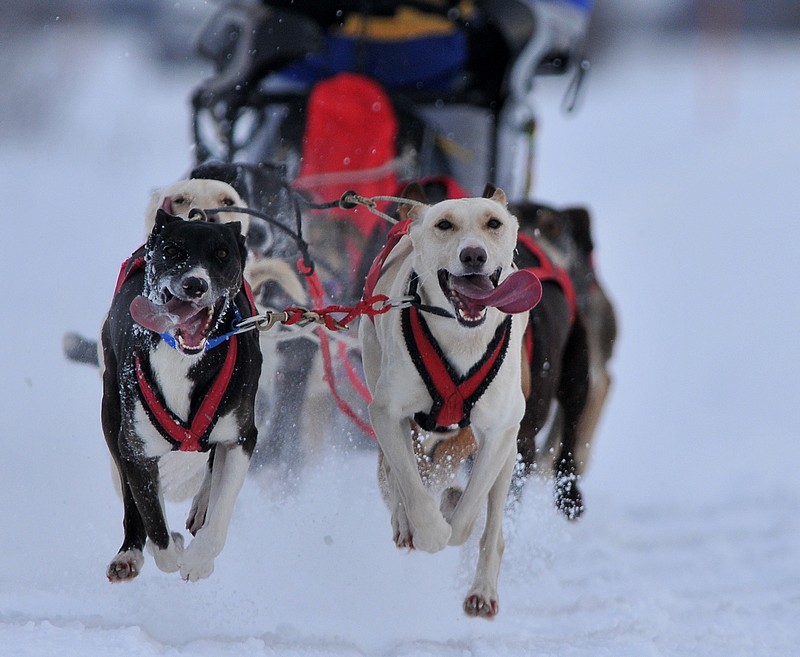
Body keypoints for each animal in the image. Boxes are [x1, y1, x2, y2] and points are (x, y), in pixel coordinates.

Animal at [101, 210, 260, 580]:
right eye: (172, 250)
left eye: (222, 254)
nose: (195, 284)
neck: (181, 357)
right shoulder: (135, 449)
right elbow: (154, 524)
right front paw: (171, 551)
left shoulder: (242, 436)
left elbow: (220, 511)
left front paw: (199, 560)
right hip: (111, 415)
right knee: (134, 501)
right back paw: (130, 553)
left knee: (213, 470)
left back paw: (201, 507)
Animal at [360, 187, 540, 616]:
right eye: (445, 224)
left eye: (493, 223)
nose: (473, 255)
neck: (463, 338)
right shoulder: (387, 413)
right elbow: (410, 486)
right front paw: (426, 531)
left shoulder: (497, 432)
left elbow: (468, 513)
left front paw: (451, 516)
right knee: (395, 473)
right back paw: (404, 522)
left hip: (509, 452)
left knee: (493, 527)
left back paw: (483, 591)